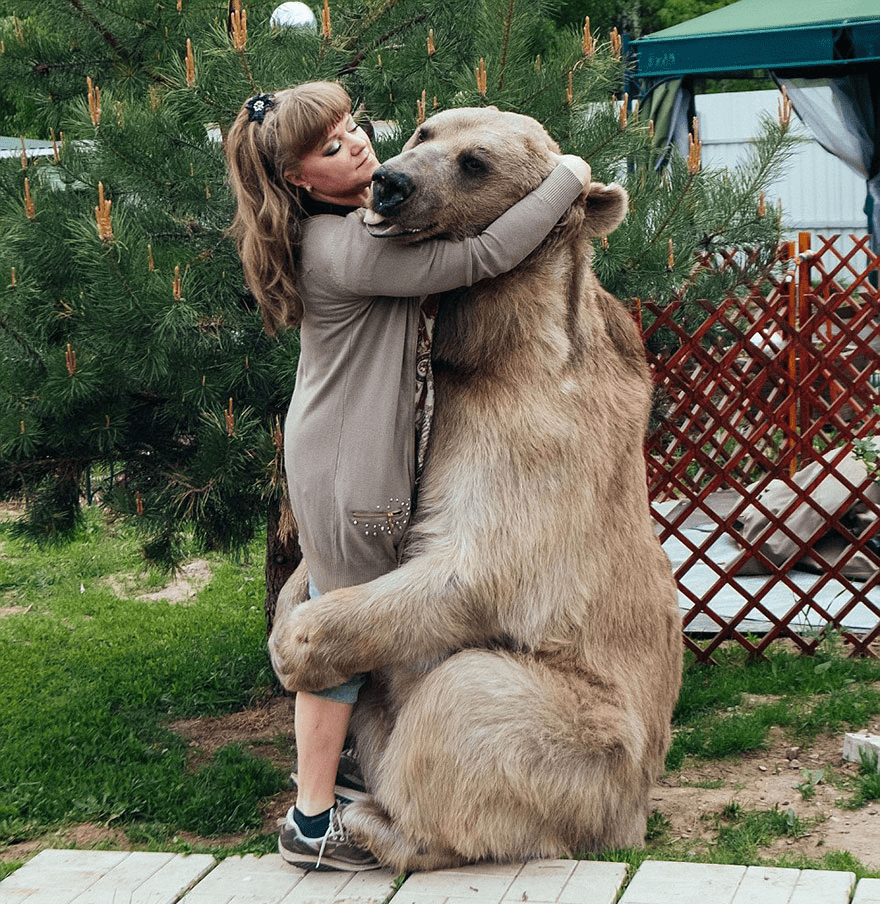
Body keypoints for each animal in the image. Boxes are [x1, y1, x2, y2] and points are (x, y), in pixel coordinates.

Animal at [272, 107, 684, 876]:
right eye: (423, 132)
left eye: (476, 163)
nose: (390, 183)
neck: (493, 348)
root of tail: (630, 818)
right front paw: (291, 600)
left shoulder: (538, 438)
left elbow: (475, 567)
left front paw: (295, 642)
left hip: (590, 743)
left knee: (465, 699)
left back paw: (374, 820)